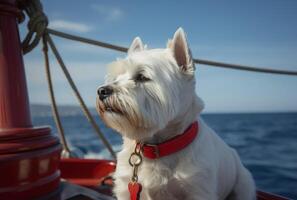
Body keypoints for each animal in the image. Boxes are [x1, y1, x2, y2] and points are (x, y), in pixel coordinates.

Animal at [96, 27, 254, 199]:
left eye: (142, 77)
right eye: (116, 77)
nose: (102, 91)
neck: (158, 147)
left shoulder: (199, 189)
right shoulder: (126, 187)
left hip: (244, 185)